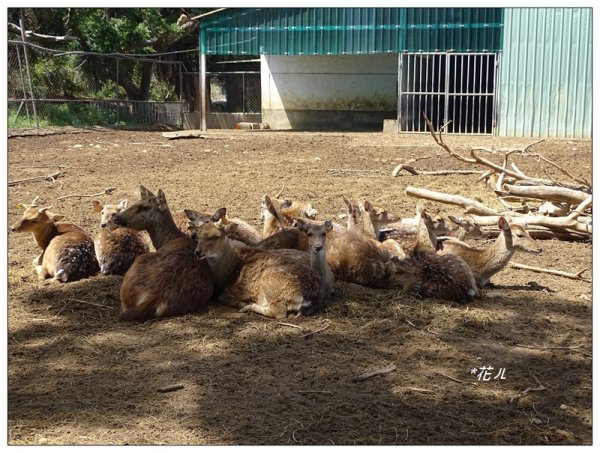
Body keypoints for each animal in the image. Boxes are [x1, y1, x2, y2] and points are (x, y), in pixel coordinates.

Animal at [113, 185, 216, 320]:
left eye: (143, 207)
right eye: (135, 202)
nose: (116, 218)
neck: (169, 239)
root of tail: (154, 299)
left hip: (138, 260)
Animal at [192, 219, 324, 318]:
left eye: (216, 236)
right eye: (198, 236)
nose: (198, 252)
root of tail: (309, 296)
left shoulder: (236, 290)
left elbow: (222, 297)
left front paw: (241, 303)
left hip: (271, 284)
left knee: (279, 312)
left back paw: (248, 306)